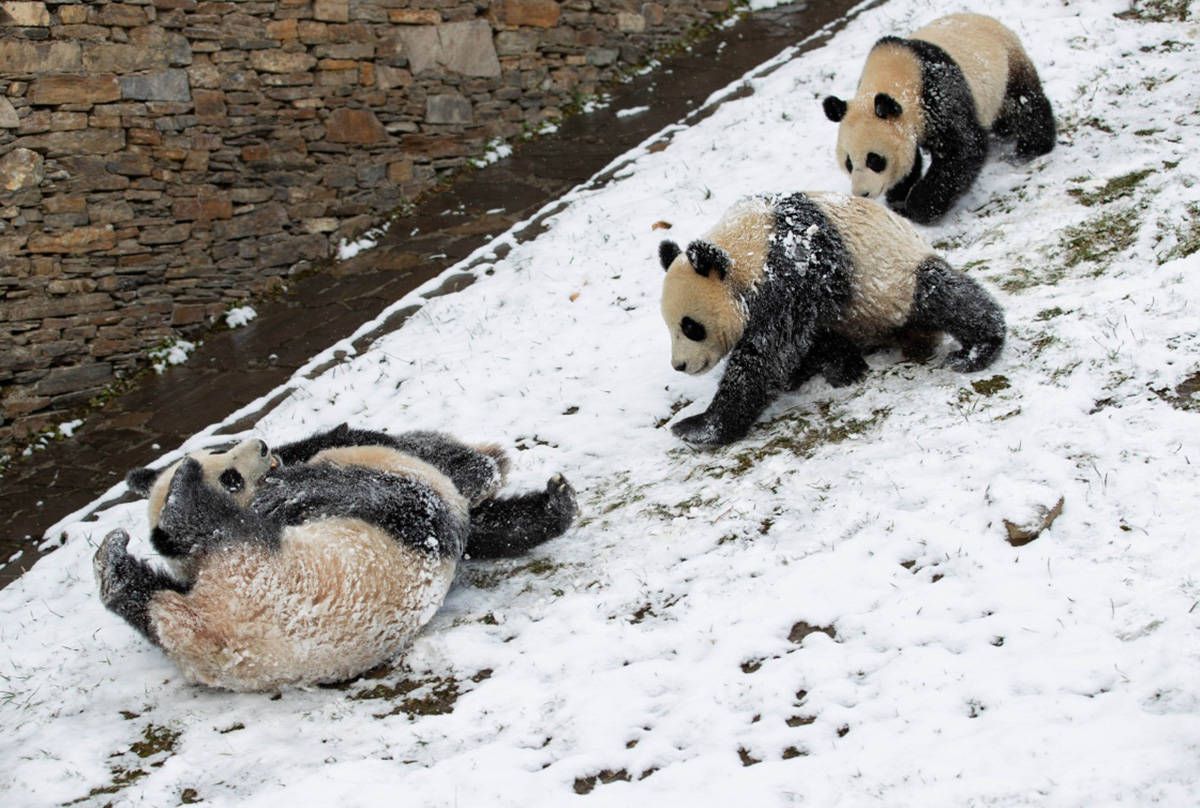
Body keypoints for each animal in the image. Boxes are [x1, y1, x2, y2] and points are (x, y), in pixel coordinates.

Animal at [96, 425, 573, 691]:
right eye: (231, 476)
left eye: (219, 450)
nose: (261, 445)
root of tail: (200, 627)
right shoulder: (414, 515)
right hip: (256, 571)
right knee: (209, 526)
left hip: (179, 606)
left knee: (145, 599)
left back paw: (115, 566)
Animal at [657, 190, 1003, 444]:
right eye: (669, 326)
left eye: (691, 327)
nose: (679, 365)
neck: (753, 245)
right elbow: (805, 339)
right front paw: (840, 369)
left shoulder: (793, 273)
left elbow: (766, 356)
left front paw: (699, 427)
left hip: (900, 280)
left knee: (944, 295)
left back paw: (978, 349)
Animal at [820, 15, 1056, 223]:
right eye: (849, 163)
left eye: (874, 159)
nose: (862, 193)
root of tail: (988, 19)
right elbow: (912, 157)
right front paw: (899, 196)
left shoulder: (939, 95)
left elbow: (964, 148)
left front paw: (919, 206)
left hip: (1008, 64)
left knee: (1024, 103)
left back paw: (1032, 147)